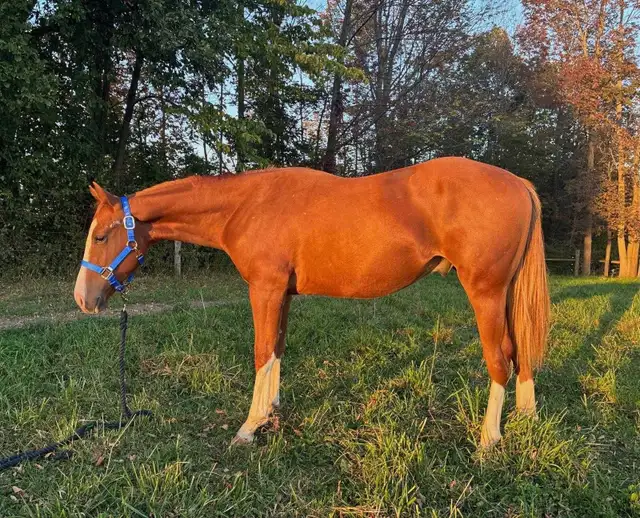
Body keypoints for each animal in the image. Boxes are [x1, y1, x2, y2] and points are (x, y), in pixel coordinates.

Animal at [74, 157, 550, 448]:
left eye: (101, 236)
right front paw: (270, 412)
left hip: (485, 293)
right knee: (520, 351)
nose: (83, 299)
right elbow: (277, 350)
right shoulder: (280, 294)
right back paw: (526, 418)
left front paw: (248, 428)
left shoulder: (264, 289)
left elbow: (261, 352)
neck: (246, 205)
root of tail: (518, 183)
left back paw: (489, 439)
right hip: (506, 295)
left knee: (499, 359)